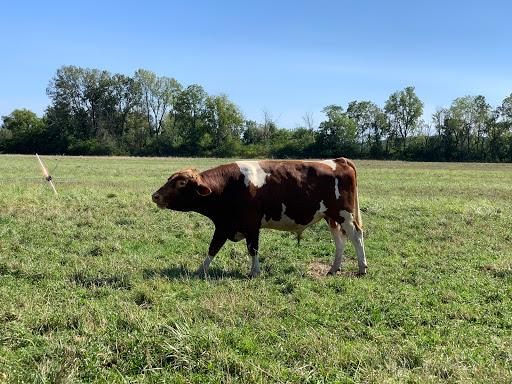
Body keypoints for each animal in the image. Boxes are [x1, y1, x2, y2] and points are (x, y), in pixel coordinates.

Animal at [152, 158, 368, 278]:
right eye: (170, 179)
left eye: (180, 183)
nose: (155, 196)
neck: (227, 186)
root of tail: (338, 160)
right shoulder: (223, 224)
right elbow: (213, 248)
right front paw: (199, 270)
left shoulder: (250, 225)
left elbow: (253, 248)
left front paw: (253, 272)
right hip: (331, 216)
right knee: (340, 240)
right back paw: (334, 268)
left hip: (344, 214)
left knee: (356, 235)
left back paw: (362, 268)